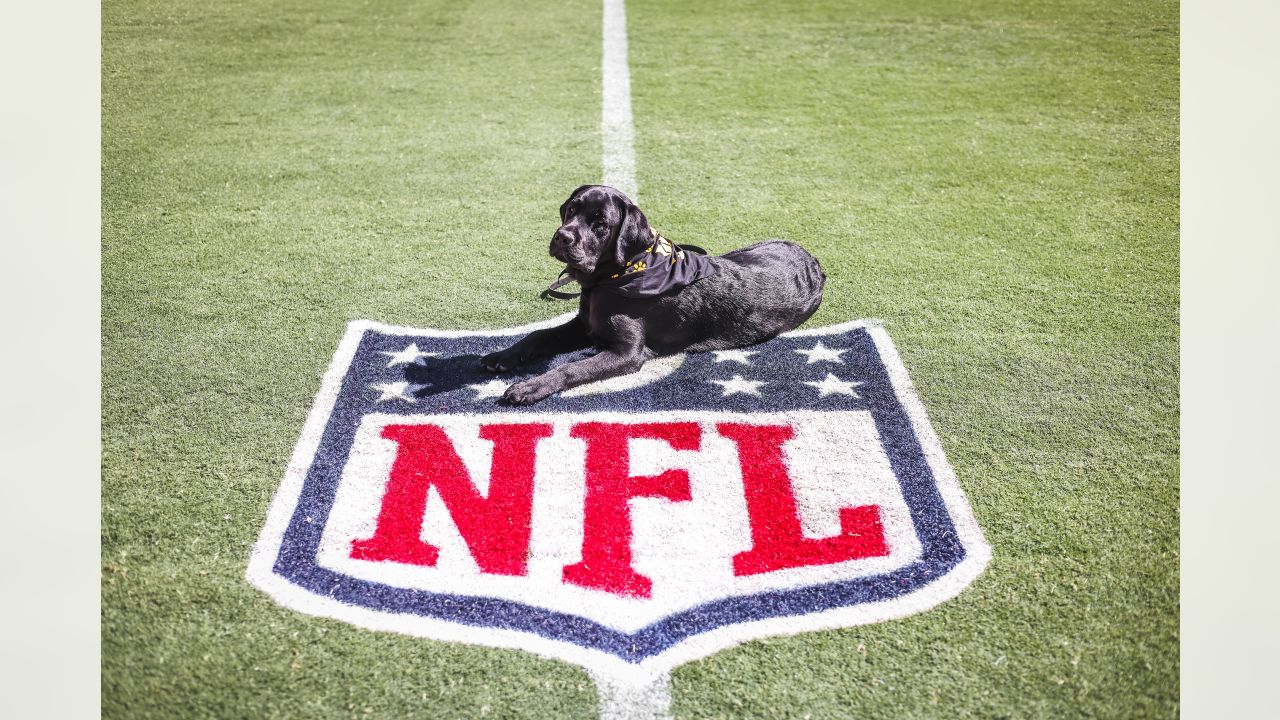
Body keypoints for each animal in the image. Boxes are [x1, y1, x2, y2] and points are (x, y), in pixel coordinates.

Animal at [478, 184, 819, 404]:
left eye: (601, 223)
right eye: (571, 210)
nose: (563, 237)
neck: (612, 276)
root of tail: (813, 262)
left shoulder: (627, 352)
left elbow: (570, 367)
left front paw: (529, 387)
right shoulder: (585, 324)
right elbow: (538, 334)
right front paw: (503, 356)